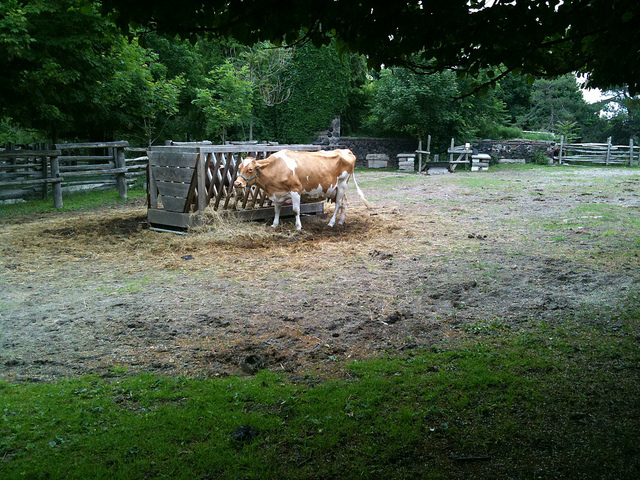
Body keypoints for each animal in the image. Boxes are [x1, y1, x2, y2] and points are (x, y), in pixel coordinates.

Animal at [233, 149, 369, 230]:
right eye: (239, 168)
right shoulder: (277, 194)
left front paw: (298, 227)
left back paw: (331, 222)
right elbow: (276, 210)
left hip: (342, 184)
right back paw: (341, 221)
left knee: (338, 204)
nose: (237, 183)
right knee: (344, 202)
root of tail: (346, 150)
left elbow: (296, 210)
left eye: (250, 169)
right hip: (335, 189)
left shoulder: (295, 191)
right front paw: (274, 224)